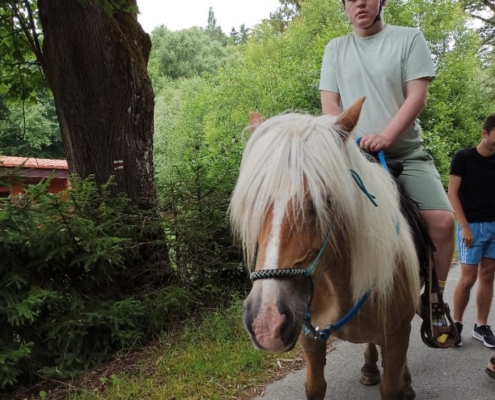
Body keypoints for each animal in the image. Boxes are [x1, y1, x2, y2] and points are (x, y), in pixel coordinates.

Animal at [231, 97, 420, 400]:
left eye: (326, 200)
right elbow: (315, 386)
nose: (266, 323)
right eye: (255, 201)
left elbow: (392, 385)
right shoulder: (310, 337)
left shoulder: (397, 335)